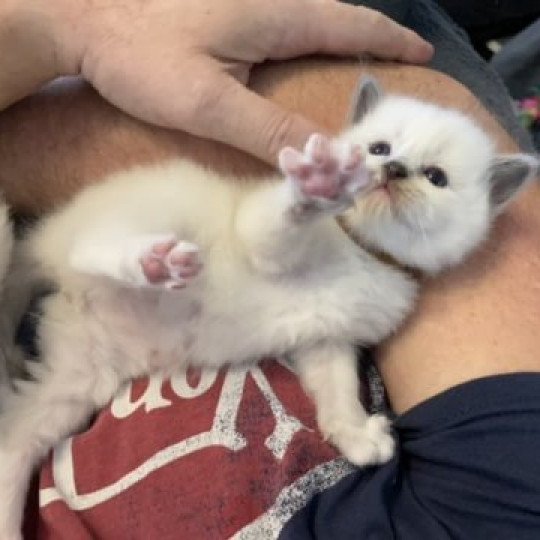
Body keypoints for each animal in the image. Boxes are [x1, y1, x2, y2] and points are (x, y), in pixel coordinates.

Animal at [0, 78, 536, 536]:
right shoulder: (260, 239)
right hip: (147, 218)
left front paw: (358, 437)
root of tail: (47, 242)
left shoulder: (328, 341)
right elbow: (287, 217)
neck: (363, 252)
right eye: (380, 149)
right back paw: (151, 262)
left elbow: (338, 392)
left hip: (79, 380)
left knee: (14, 442)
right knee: (89, 249)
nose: (393, 171)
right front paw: (319, 186)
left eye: (435, 177)